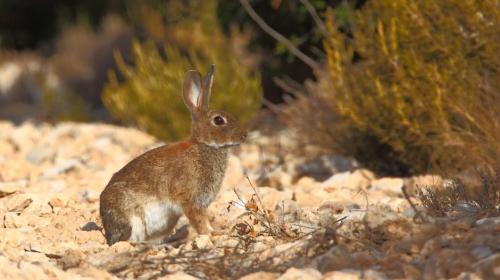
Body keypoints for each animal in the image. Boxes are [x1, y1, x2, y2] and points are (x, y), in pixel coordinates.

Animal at [98, 65, 247, 245]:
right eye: (218, 120)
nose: (244, 135)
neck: (204, 145)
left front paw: (216, 232)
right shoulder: (191, 201)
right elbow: (199, 221)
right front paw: (211, 235)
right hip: (130, 218)